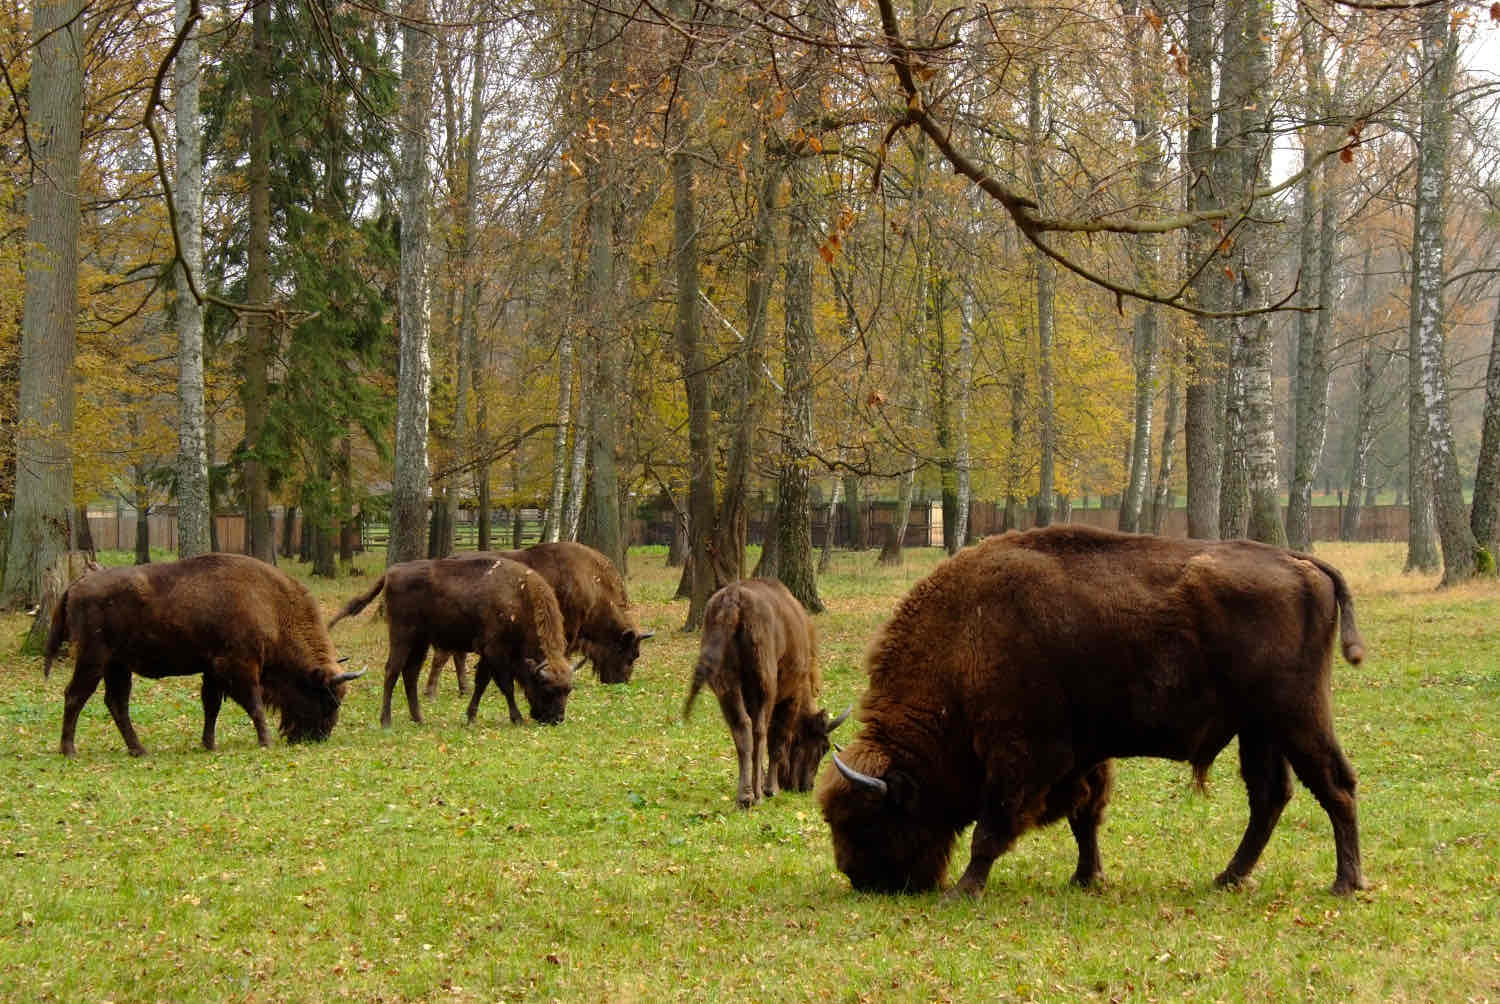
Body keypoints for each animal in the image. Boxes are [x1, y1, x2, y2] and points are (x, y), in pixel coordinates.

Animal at [41, 552, 363, 756]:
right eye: (327, 699)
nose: (318, 737)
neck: (271, 607)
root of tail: (76, 586)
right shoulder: (239, 667)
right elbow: (254, 705)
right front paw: (265, 741)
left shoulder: (213, 671)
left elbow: (212, 707)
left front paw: (209, 744)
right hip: (93, 659)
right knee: (75, 696)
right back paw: (69, 750)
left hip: (118, 666)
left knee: (116, 703)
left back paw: (139, 750)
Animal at [331, 555, 576, 729]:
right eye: (547, 688)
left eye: (568, 690)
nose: (557, 719)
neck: (519, 597)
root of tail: (391, 573)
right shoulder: (495, 652)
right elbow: (504, 685)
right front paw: (516, 718)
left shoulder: (488, 655)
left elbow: (481, 683)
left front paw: (470, 717)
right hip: (403, 636)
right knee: (392, 671)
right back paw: (386, 721)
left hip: (420, 642)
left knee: (410, 674)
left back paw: (419, 718)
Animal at [426, 540, 654, 696]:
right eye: (630, 655)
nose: (621, 682)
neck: (593, 585)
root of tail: (449, 559)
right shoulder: (568, 630)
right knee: (446, 656)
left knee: (457, 656)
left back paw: (463, 689)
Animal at [687, 579, 852, 804]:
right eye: (823, 747)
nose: (807, 787)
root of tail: (733, 599)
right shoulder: (790, 697)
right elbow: (778, 740)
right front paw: (771, 788)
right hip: (764, 686)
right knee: (760, 732)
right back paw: (757, 795)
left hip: (726, 685)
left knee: (742, 729)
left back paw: (745, 795)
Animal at [822, 525, 1374, 900]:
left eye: (866, 820)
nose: (860, 879)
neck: (965, 637)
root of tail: (1301, 562)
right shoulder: (1082, 755)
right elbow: (1084, 815)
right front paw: (1086, 878)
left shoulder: (1019, 755)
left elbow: (991, 828)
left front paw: (965, 890)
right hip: (1259, 730)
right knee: (1270, 797)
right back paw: (1228, 877)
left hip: (1296, 717)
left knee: (1334, 786)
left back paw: (1345, 883)